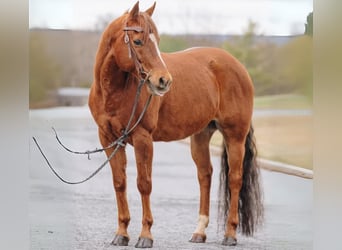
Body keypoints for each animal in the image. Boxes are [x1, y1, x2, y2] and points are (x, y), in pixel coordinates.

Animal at [88, 1, 262, 248]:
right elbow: (120, 182)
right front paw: (122, 233)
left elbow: (144, 183)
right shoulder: (109, 139)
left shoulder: (143, 139)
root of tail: (238, 66)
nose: (163, 80)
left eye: (158, 41)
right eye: (138, 41)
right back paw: (199, 232)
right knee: (205, 175)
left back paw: (230, 234)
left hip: (234, 136)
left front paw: (145, 235)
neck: (115, 92)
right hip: (200, 136)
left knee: (235, 179)